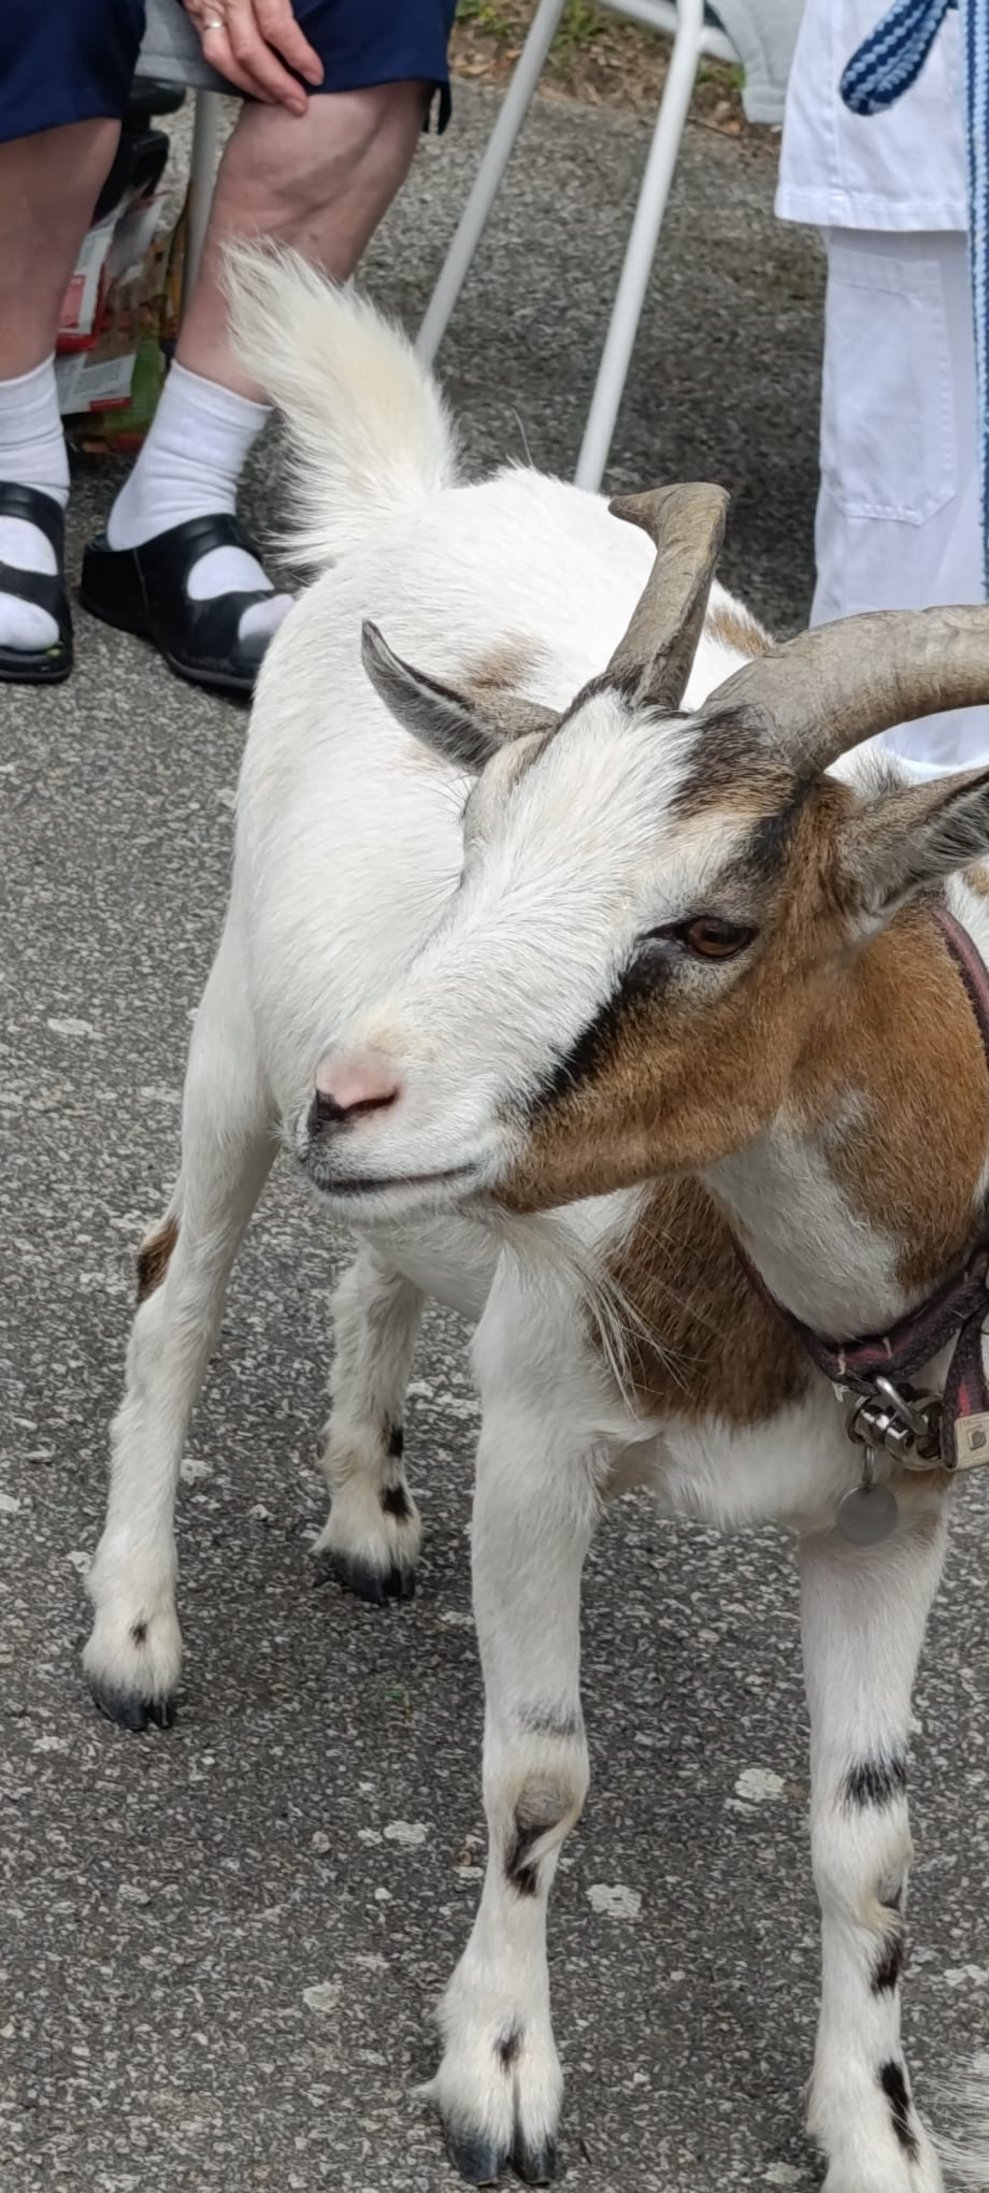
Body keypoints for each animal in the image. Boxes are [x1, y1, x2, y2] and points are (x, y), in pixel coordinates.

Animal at [84, 251, 989, 2192]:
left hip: (425, 1179)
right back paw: (131, 1630)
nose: (356, 1093)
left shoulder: (897, 1508)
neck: (785, 1308)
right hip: (233, 1037)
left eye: (716, 924)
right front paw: (497, 2070)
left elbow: (870, 1846)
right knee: (171, 1294)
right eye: (481, 828)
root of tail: (424, 499)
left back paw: (363, 1508)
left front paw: (877, 2130)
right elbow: (540, 1772)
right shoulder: (541, 1449)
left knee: (378, 1283)